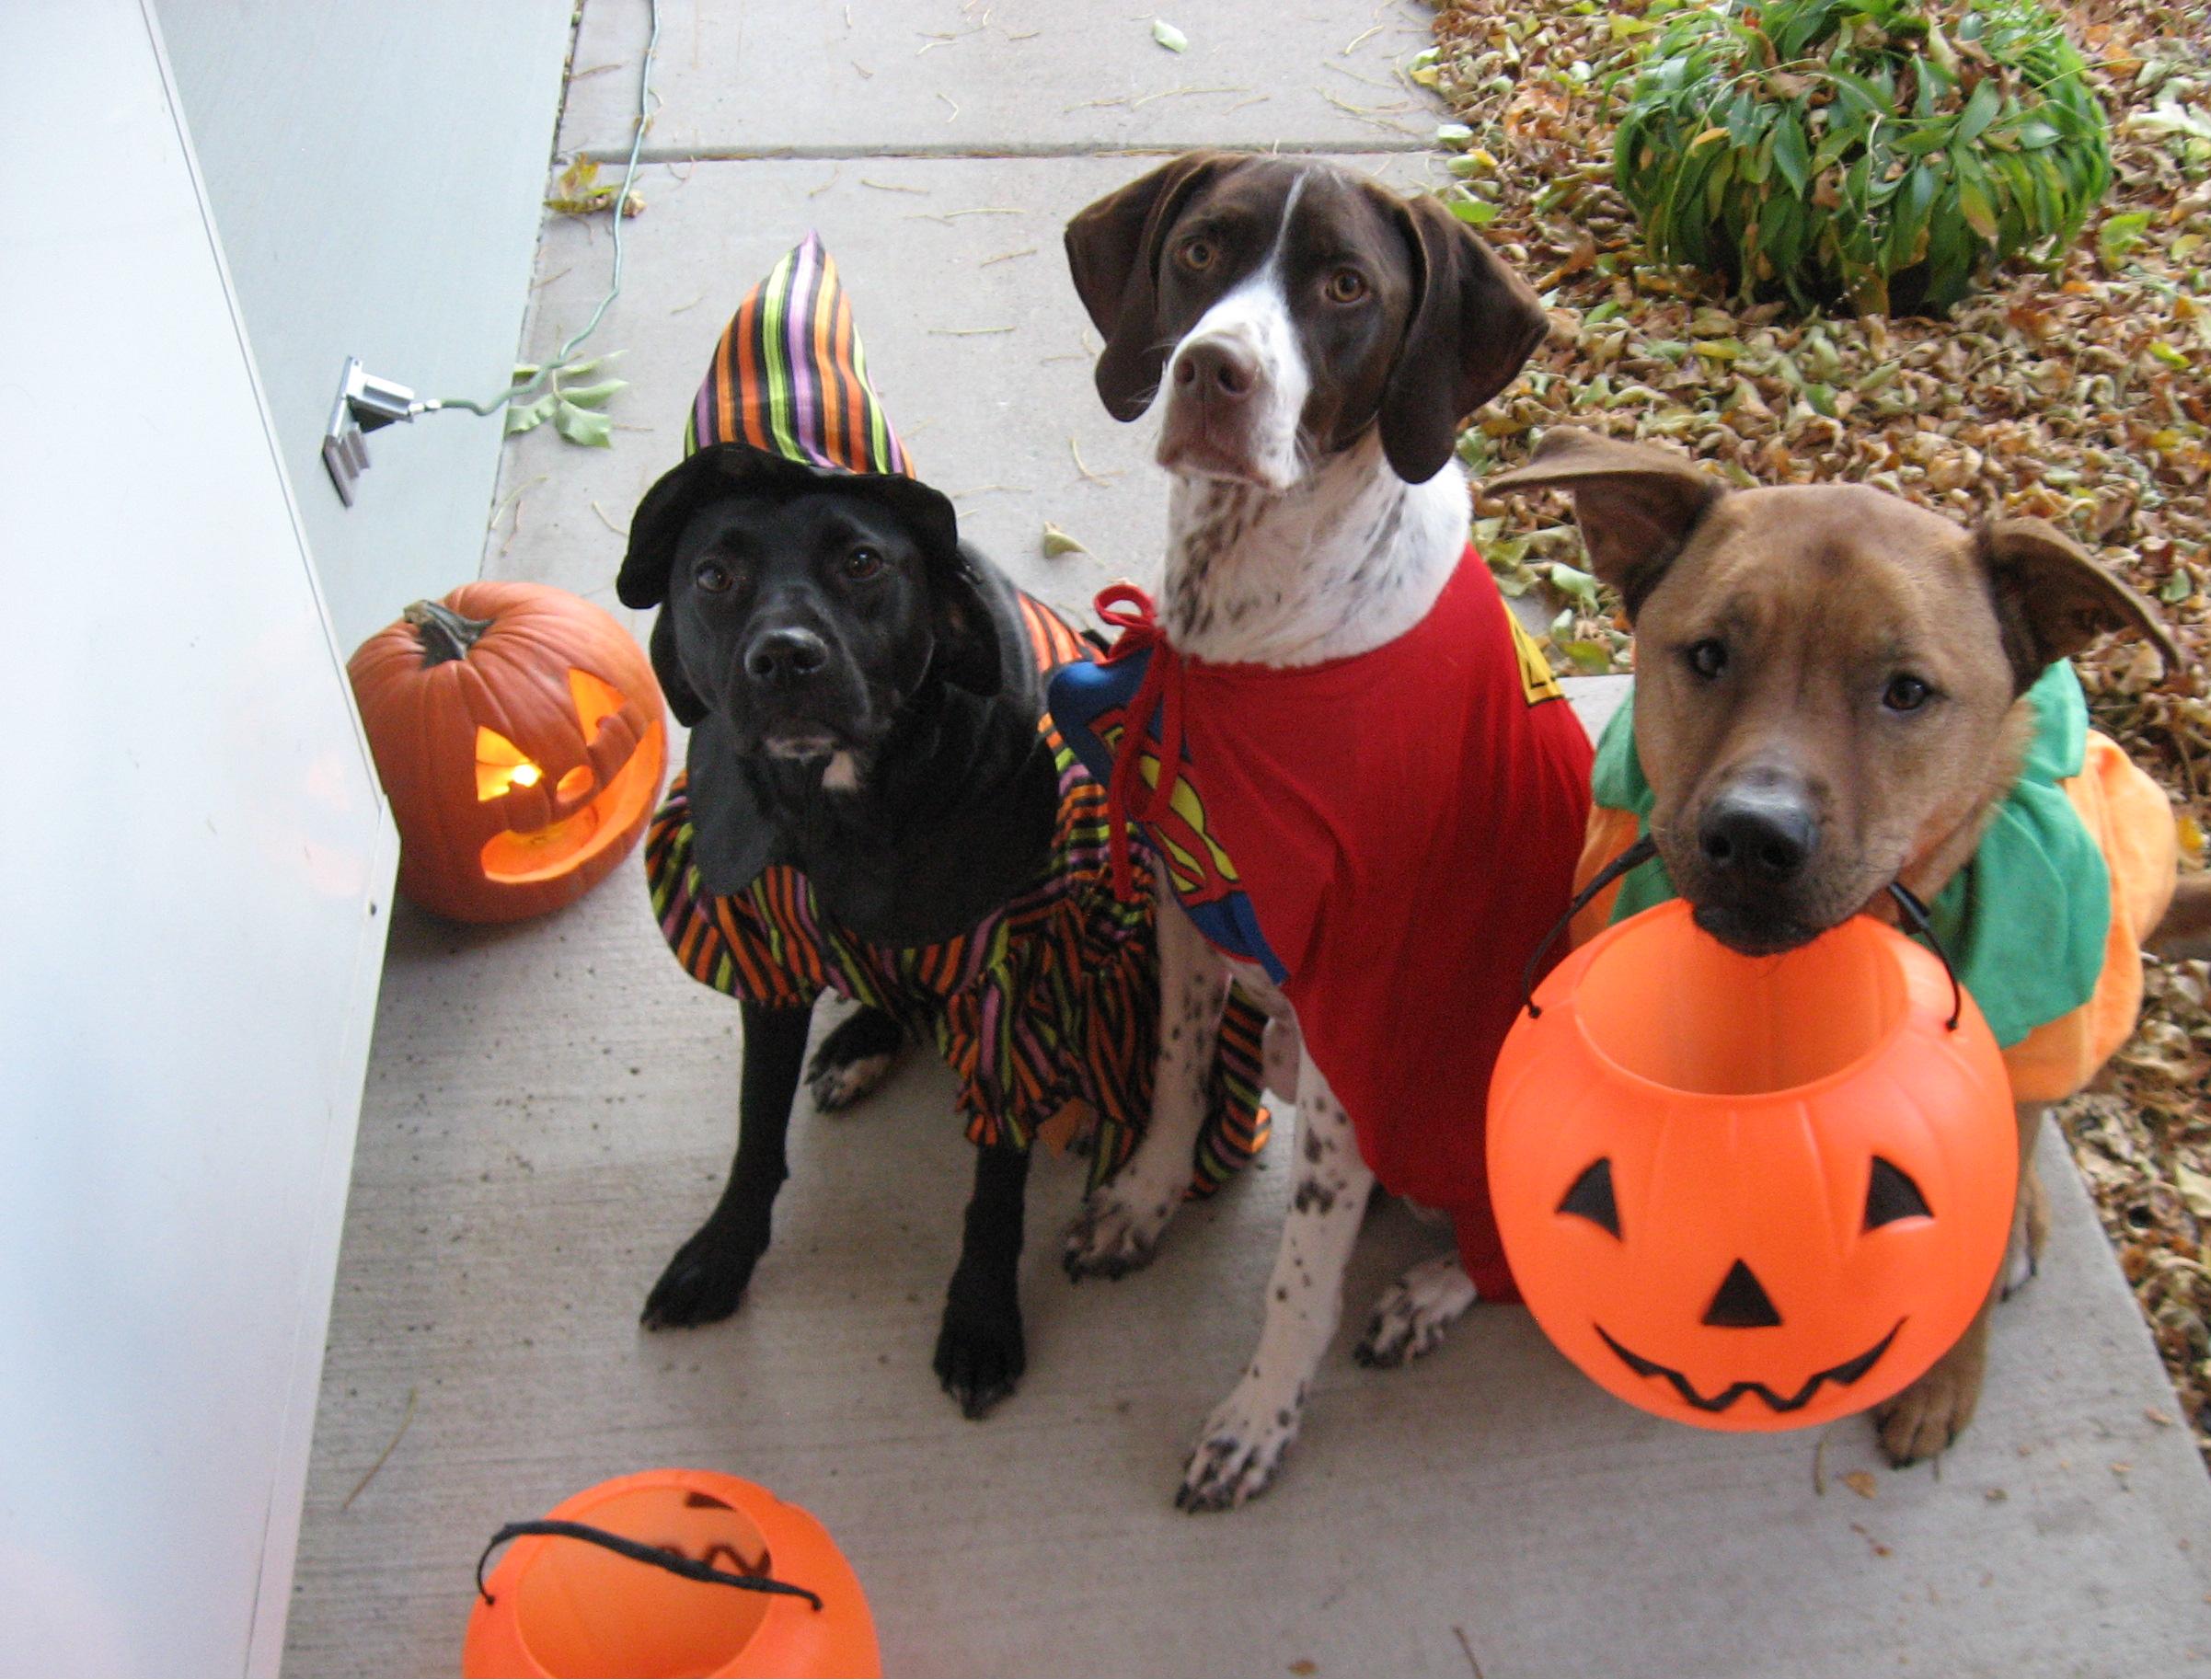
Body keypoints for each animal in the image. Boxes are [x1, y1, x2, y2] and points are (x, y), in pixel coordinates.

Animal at [1056, 151, 1548, 1502]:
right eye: (1197, 253)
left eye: (1344, 286)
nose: (1211, 370)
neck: (1251, 636)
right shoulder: (1189, 904)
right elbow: (1175, 1073)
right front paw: (1144, 1198)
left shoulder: (1353, 1006)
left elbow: (1300, 1268)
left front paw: (1257, 1415)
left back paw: (1430, 1290)